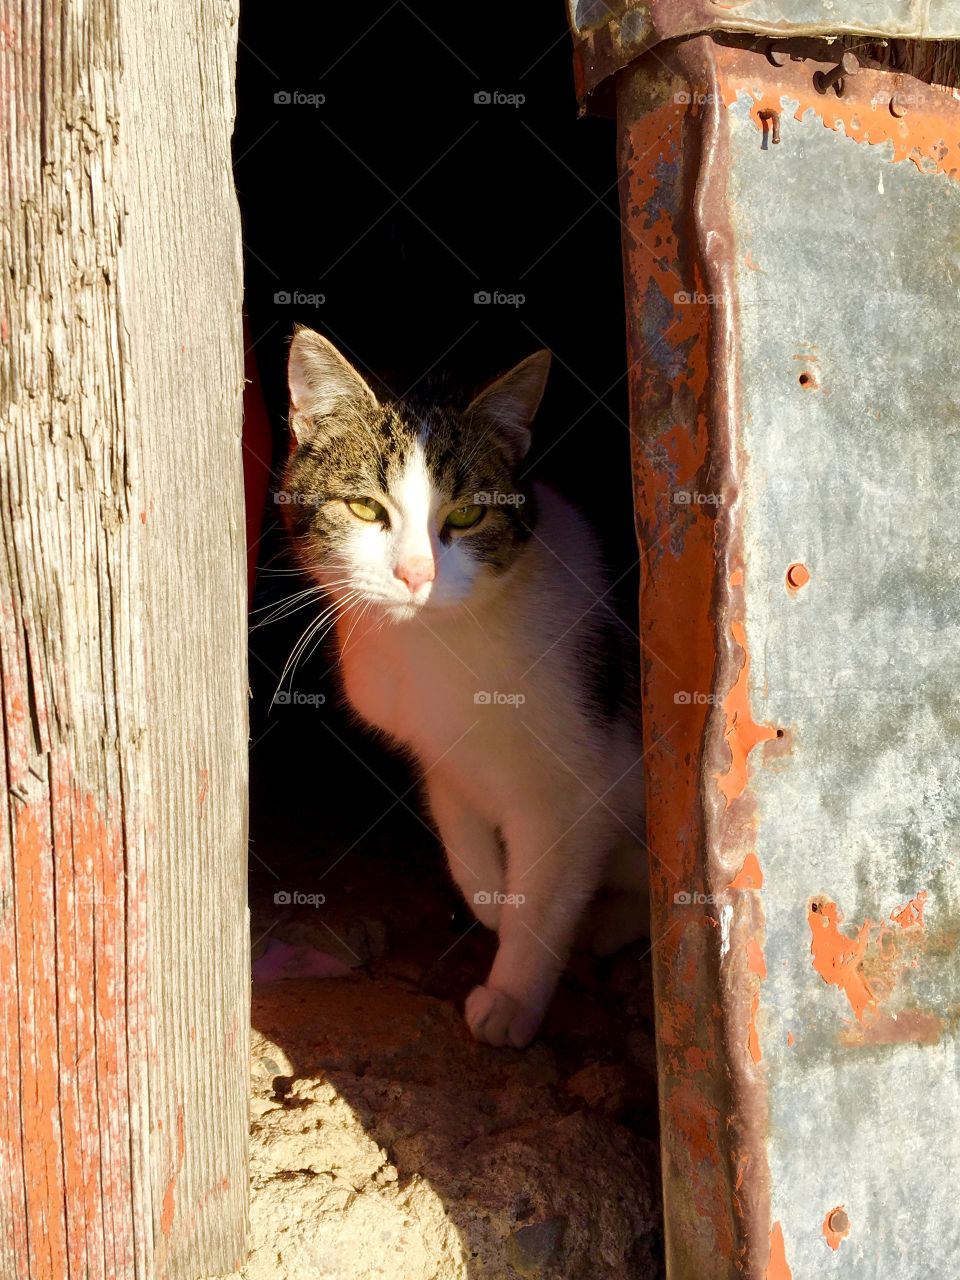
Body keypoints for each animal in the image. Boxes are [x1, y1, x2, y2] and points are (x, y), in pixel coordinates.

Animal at [281, 327, 650, 1049]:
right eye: (364, 507)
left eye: (469, 513)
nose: (416, 575)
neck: (435, 643)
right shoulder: (433, 746)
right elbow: (459, 827)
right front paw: (489, 897)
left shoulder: (577, 790)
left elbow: (545, 895)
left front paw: (512, 997)